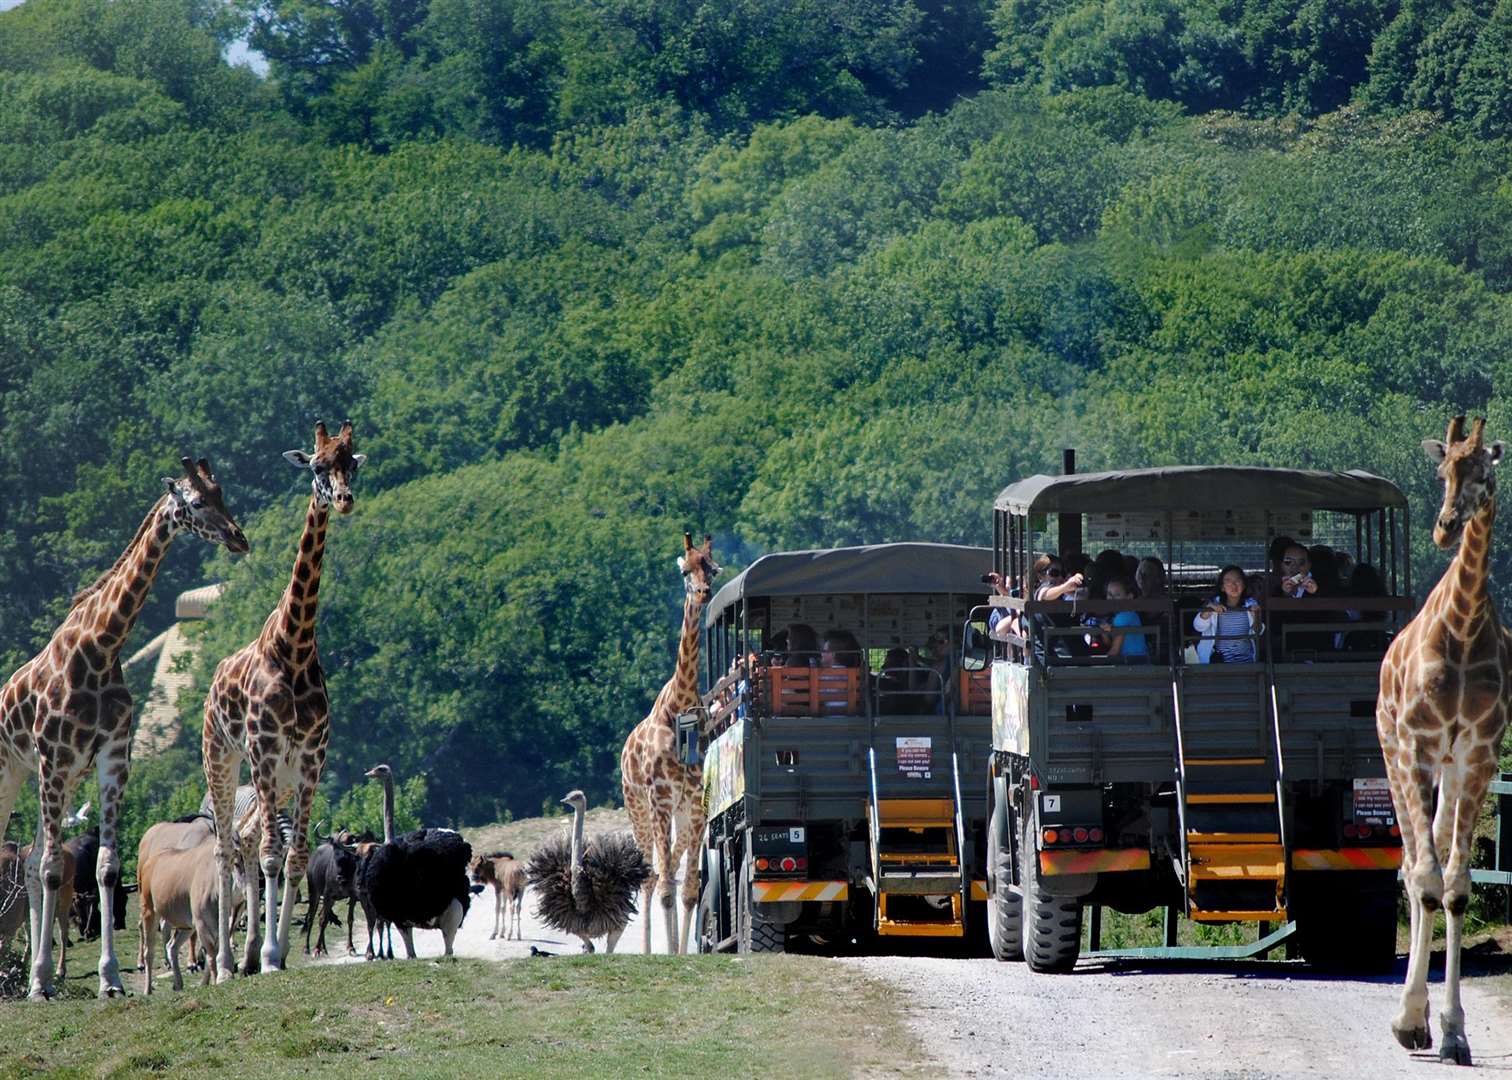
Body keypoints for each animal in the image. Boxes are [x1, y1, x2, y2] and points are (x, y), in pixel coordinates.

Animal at [0, 459, 244, 998]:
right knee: (32, 862)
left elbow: (106, 868)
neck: (100, 647)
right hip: (16, 771)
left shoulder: (110, 758)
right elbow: (54, 870)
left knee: (28, 862)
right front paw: (45, 985)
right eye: (197, 502)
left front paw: (109, 980)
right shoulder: (54, 758)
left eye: (222, 493)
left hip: (57, 778)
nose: (238, 538)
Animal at [201, 420, 365, 974]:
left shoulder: (311, 759)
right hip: (224, 761)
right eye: (316, 466)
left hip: (283, 778)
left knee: (249, 839)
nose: (344, 499)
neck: (293, 648)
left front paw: (278, 950)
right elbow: (273, 853)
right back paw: (227, 963)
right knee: (227, 847)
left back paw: (249, 951)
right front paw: (271, 954)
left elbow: (293, 858)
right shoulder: (265, 753)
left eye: (351, 463)